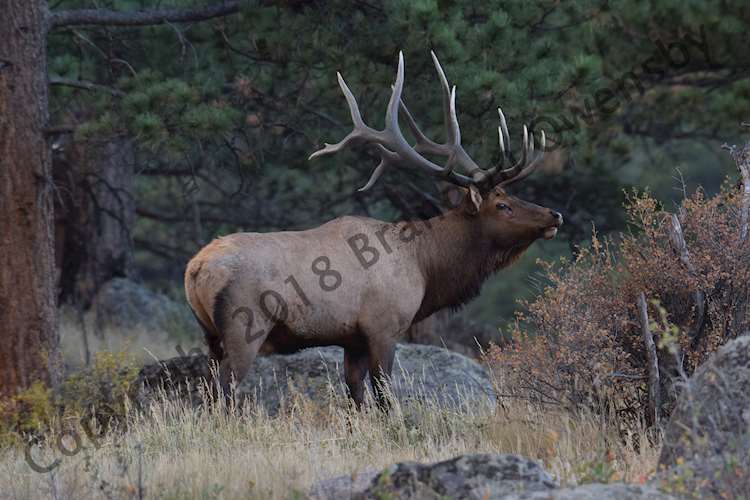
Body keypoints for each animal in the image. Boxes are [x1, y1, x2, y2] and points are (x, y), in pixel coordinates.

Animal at [187, 51, 564, 410]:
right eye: (502, 205)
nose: (555, 215)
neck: (425, 267)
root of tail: (196, 267)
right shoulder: (384, 327)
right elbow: (384, 397)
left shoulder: (352, 339)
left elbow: (356, 398)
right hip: (244, 328)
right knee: (223, 392)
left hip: (210, 336)